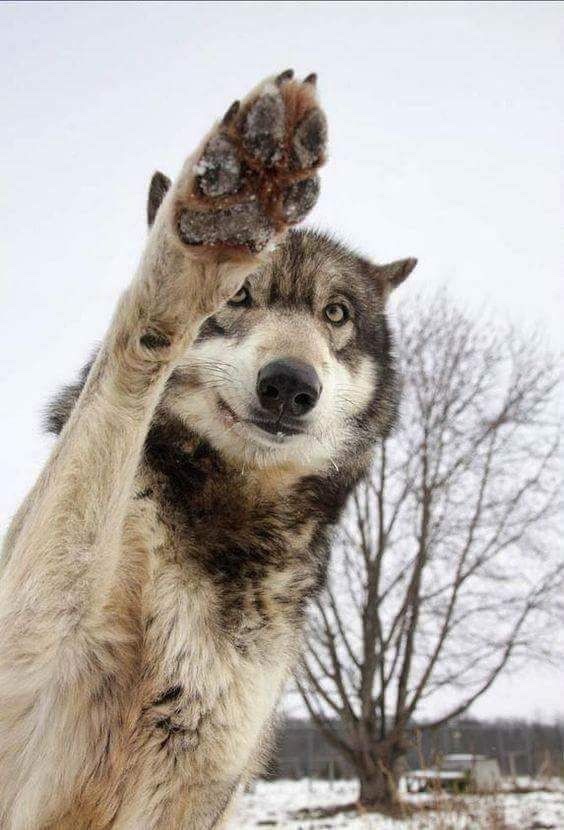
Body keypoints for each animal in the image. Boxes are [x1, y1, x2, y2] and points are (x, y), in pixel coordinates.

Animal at [0, 70, 416, 828]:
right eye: (241, 295)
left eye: (335, 313)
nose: (290, 385)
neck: (223, 528)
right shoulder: (27, 656)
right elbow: (128, 367)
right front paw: (219, 222)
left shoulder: (200, 786)